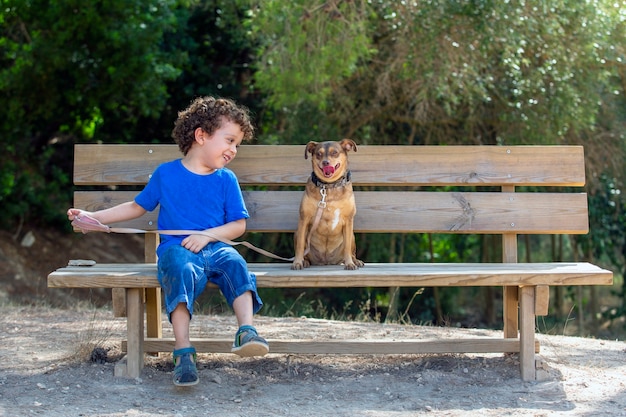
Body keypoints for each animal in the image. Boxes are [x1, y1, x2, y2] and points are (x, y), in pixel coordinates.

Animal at [292, 139, 364, 270]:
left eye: (334, 152)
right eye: (318, 154)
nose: (325, 162)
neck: (329, 186)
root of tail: (326, 261)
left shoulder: (348, 220)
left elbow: (347, 247)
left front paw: (349, 263)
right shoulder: (304, 219)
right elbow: (300, 245)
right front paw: (297, 262)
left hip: (352, 235)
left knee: (351, 250)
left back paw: (355, 261)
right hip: (297, 232)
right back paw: (305, 261)